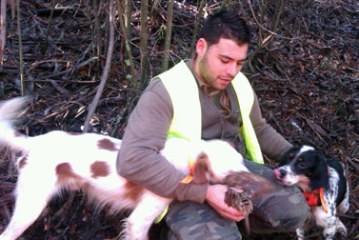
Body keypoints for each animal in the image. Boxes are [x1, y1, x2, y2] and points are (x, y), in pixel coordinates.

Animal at [0, 97, 272, 240]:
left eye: (242, 161)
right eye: (232, 173)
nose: (263, 188)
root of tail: (37, 140)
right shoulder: (139, 221)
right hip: (29, 207)